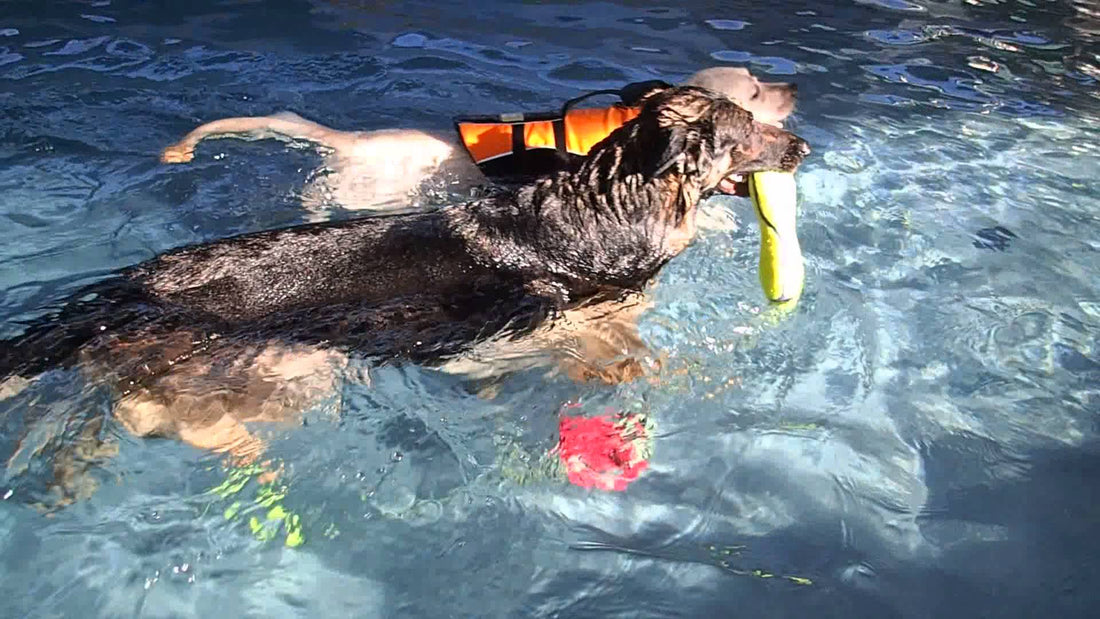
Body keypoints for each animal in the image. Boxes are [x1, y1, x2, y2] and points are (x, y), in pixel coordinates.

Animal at [0, 87, 809, 496]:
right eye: (751, 127)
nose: (805, 147)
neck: (609, 205)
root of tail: (129, 288)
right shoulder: (587, 331)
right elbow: (660, 363)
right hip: (287, 374)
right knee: (149, 412)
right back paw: (248, 454)